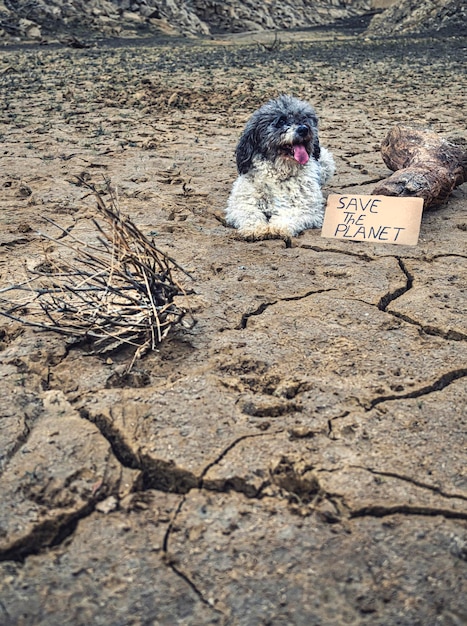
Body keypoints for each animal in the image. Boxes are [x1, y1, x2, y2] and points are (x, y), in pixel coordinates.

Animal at [225, 95, 334, 239]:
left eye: (304, 118)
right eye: (281, 121)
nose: (303, 129)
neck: (280, 172)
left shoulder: (305, 206)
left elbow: (291, 214)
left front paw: (278, 227)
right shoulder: (241, 202)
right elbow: (249, 212)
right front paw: (256, 228)